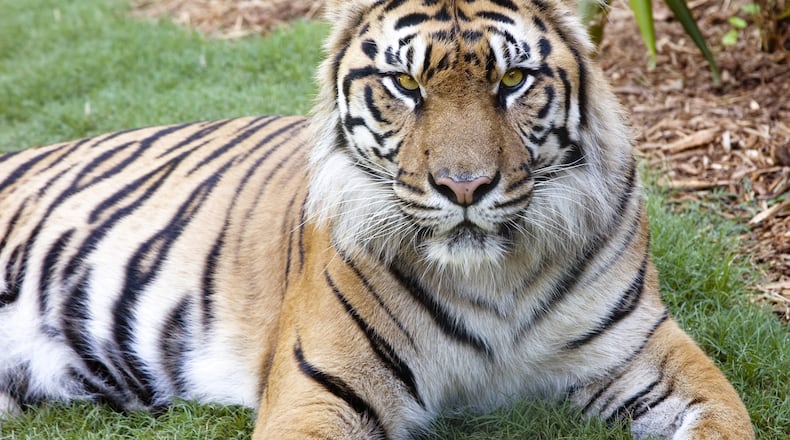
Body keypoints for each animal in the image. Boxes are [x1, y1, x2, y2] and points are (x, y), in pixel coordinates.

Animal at [0, 0, 753, 438]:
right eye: (406, 84)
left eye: (512, 81)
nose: (464, 186)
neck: (494, 277)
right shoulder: (320, 388)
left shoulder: (644, 349)